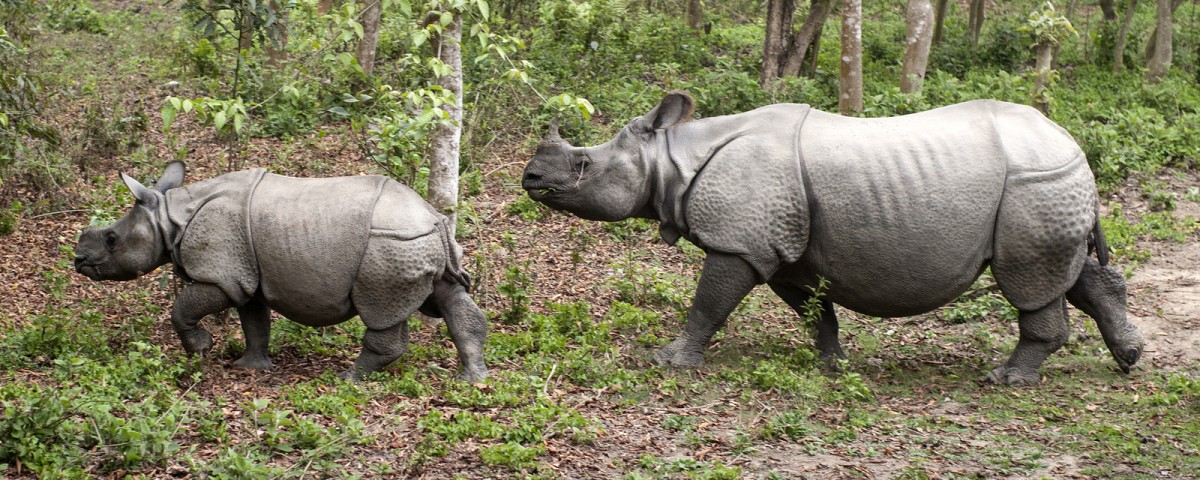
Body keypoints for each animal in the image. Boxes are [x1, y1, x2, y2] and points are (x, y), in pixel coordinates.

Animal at [73, 162, 487, 381]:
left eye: (111, 239)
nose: (78, 260)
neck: (168, 217)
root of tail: (433, 218)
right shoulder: (246, 275)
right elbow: (254, 322)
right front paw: (249, 367)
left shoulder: (221, 274)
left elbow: (183, 309)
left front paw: (201, 351)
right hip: (419, 242)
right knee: (449, 297)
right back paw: (472, 378)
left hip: (390, 245)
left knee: (382, 313)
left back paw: (348, 378)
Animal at [523, 91, 1142, 386]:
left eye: (582, 166)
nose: (529, 178)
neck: (672, 157)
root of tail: (1070, 142)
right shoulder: (782, 248)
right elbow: (813, 311)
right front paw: (832, 365)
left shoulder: (741, 242)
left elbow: (709, 302)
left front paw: (668, 361)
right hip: (1047, 185)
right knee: (1067, 273)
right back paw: (1129, 357)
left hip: (1033, 185)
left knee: (1029, 281)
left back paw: (1007, 380)